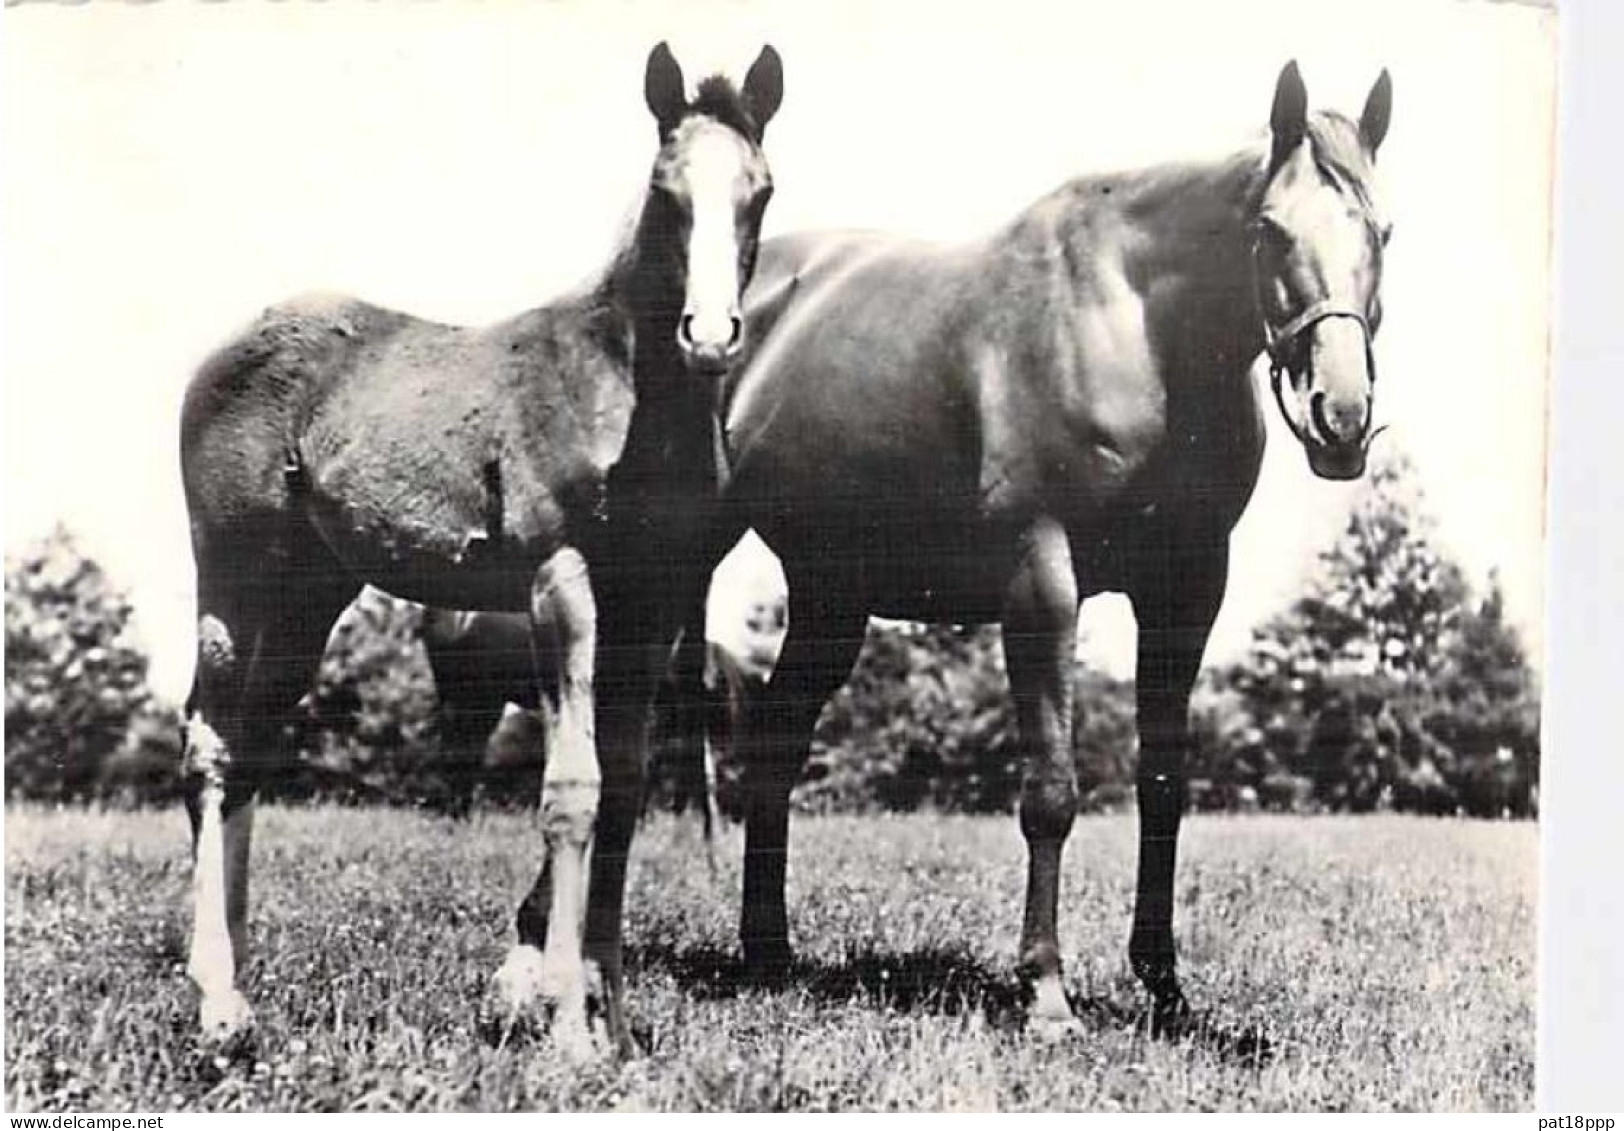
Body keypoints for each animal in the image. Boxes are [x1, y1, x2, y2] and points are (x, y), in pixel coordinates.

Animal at [174, 39, 782, 1053]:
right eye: (665, 192)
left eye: (759, 191)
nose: (710, 334)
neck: (626, 393)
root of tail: (231, 345)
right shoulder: (560, 586)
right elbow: (572, 789)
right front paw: (569, 1029)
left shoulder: (653, 608)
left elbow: (624, 789)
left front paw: (615, 1025)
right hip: (232, 574)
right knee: (211, 745)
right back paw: (216, 996)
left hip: (309, 593)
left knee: (252, 741)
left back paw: (239, 981)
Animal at [691, 59, 1390, 1033]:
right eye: (1270, 228)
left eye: (1382, 230)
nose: (1341, 416)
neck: (1138, 324)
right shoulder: (1042, 580)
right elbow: (1051, 791)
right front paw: (1048, 992)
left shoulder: (1187, 591)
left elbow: (1162, 782)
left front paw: (1164, 985)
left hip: (833, 593)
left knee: (776, 738)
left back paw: (769, 954)